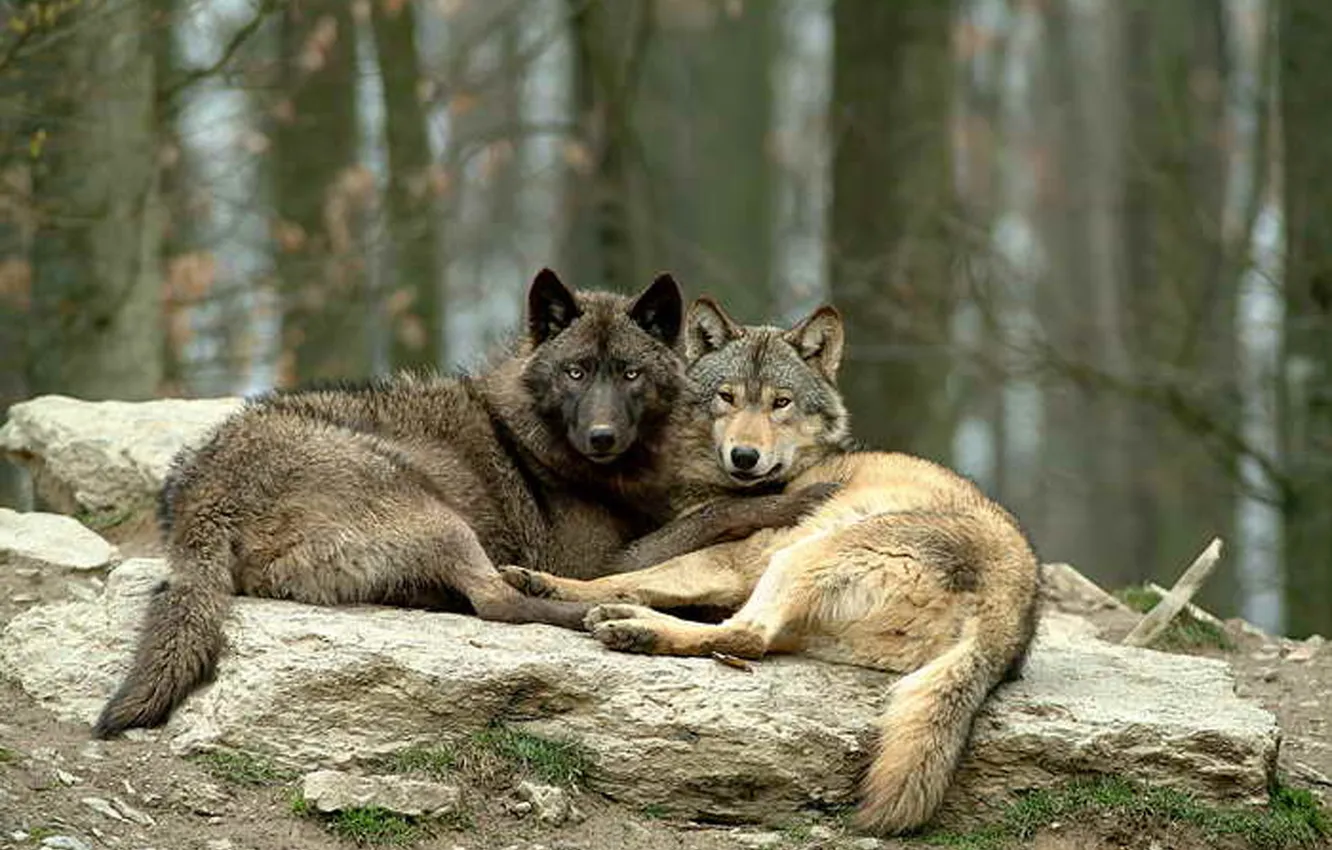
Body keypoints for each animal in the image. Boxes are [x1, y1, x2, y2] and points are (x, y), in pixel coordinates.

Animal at [93, 271, 833, 739]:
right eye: (574, 372)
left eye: (629, 374)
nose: (600, 436)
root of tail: (201, 494)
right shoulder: (602, 557)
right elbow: (717, 512)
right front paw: (799, 493)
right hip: (434, 511)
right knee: (502, 600)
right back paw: (611, 617)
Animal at [502, 298, 1041, 836]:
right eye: (727, 398)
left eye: (781, 403)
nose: (745, 455)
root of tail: (1011, 617)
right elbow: (633, 582)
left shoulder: (733, 559)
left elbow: (618, 578)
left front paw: (543, 583)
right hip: (809, 619)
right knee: (746, 637)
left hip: (797, 558)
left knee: (746, 637)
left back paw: (635, 630)